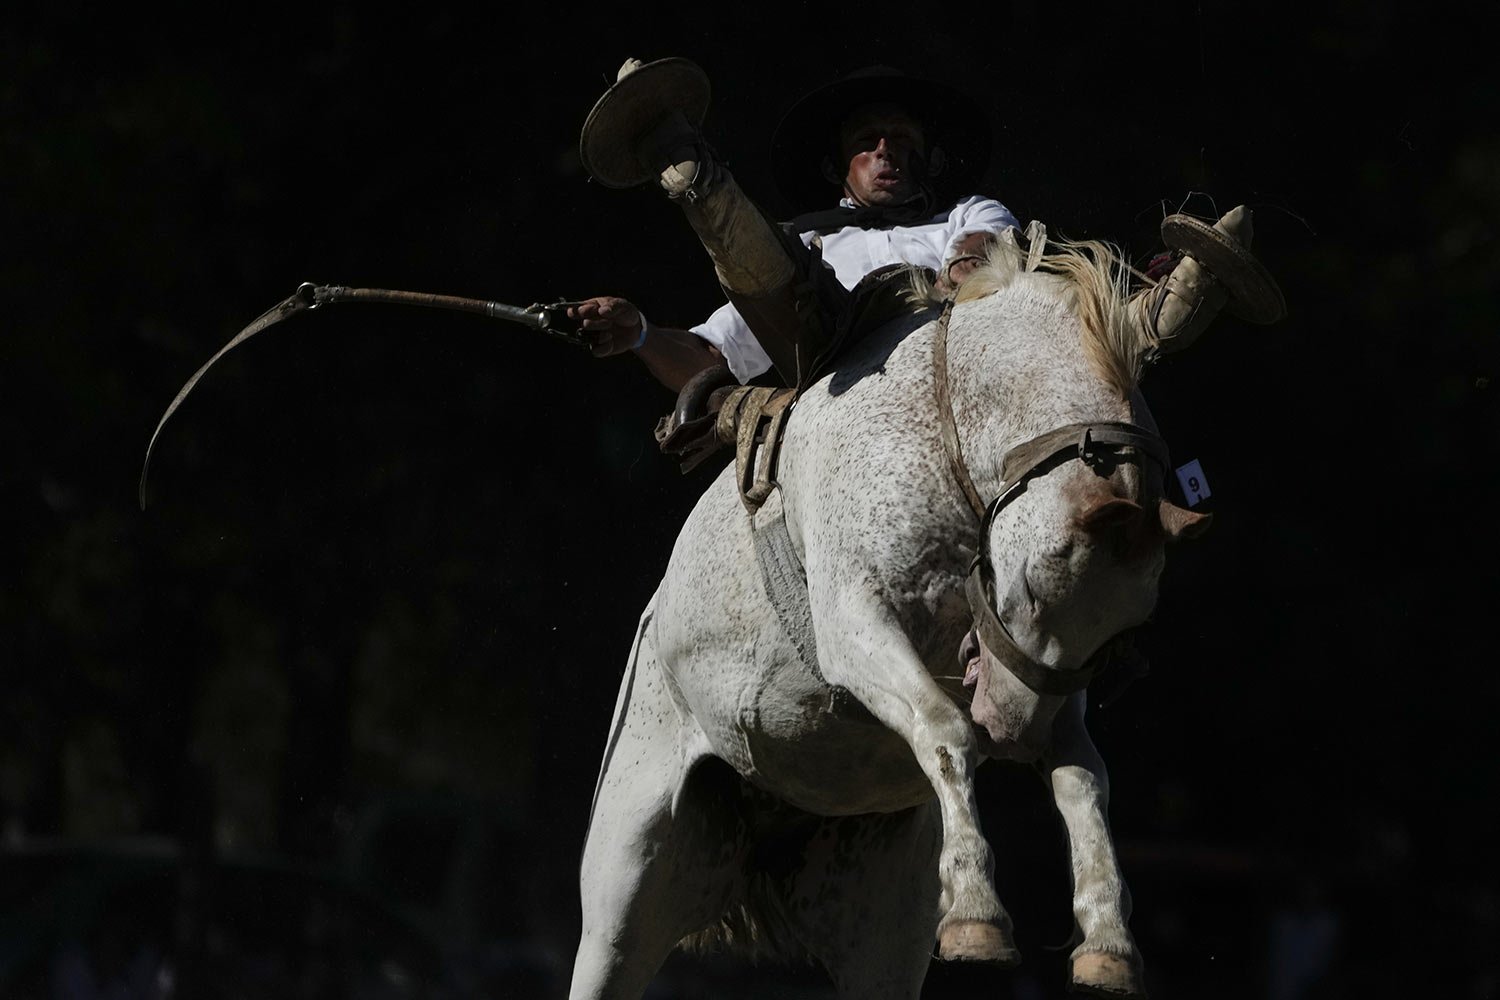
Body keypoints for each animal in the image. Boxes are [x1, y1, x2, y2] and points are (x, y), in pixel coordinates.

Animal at [567, 235, 1212, 1000]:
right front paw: (977, 917)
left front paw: (1109, 944)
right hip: (626, 884)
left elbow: (1083, 780)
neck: (941, 428)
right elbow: (945, 730)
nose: (1013, 732)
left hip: (882, 931)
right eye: (1030, 585)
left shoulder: (1053, 695)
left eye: (1123, 635)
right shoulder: (856, 628)